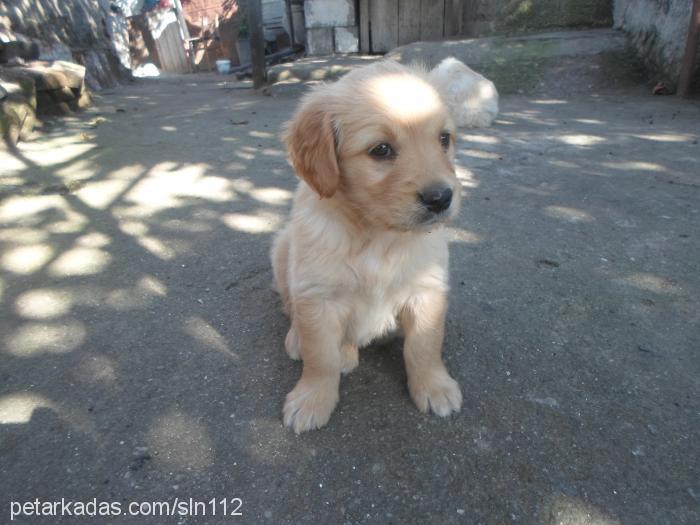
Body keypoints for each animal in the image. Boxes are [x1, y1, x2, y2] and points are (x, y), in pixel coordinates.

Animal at [274, 59, 464, 432]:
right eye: (381, 150)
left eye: (444, 138)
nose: (441, 198)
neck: (378, 235)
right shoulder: (317, 295)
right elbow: (321, 356)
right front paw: (312, 398)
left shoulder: (427, 289)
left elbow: (424, 345)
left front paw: (434, 386)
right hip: (282, 247)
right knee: (292, 308)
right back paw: (301, 339)